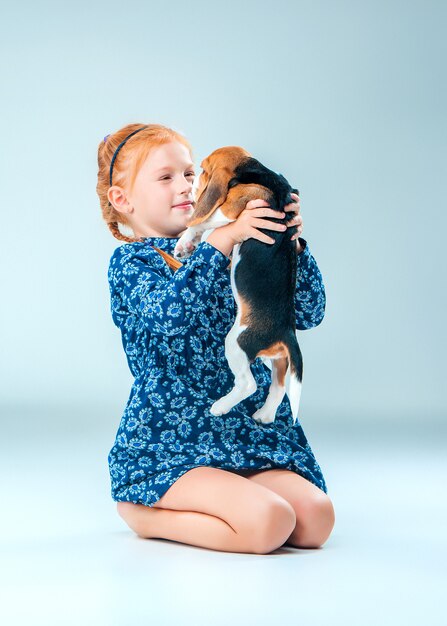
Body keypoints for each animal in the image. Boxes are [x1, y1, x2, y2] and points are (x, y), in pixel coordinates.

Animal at [173, 146, 302, 424]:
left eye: (203, 170)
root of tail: (286, 332)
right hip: (278, 360)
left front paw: (186, 239)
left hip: (236, 342)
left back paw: (220, 406)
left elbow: (203, 220)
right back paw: (264, 415)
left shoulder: (234, 206)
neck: (259, 175)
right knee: (277, 387)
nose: (191, 186)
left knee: (248, 385)